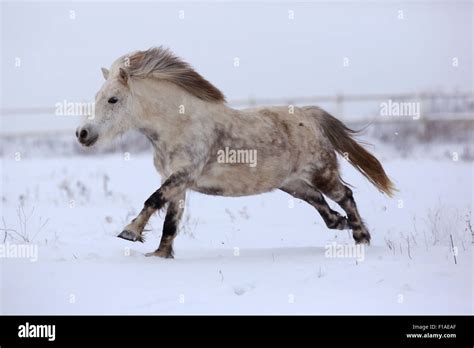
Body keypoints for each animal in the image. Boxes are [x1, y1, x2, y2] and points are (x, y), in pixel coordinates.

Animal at [77, 46, 396, 256]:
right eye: (98, 96)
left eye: (113, 99)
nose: (82, 134)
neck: (179, 124)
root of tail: (310, 115)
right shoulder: (177, 183)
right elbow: (170, 221)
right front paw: (160, 255)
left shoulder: (183, 175)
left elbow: (153, 200)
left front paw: (129, 232)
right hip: (292, 184)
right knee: (321, 204)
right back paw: (342, 224)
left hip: (321, 173)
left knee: (345, 196)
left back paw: (361, 236)